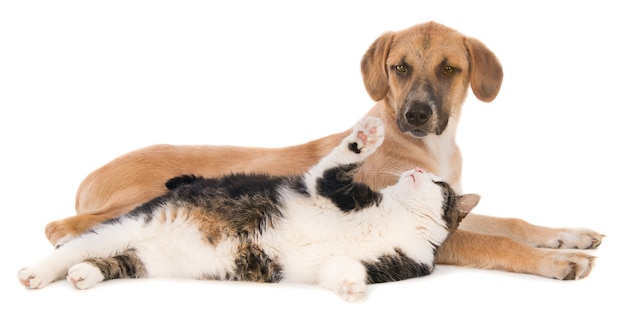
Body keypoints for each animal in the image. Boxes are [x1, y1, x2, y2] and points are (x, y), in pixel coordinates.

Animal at [18, 116, 478, 302]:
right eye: (425, 175)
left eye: (436, 183)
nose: (416, 170)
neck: (398, 218)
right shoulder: (326, 187)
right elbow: (338, 162)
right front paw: (365, 135)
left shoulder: (388, 263)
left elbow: (342, 270)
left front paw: (352, 289)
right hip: (129, 222)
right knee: (72, 246)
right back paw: (37, 273)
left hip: (147, 259)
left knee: (111, 261)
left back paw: (85, 275)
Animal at [44, 21, 600, 278]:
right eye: (400, 67)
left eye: (449, 69)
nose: (417, 115)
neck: (428, 148)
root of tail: (90, 175)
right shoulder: (432, 230)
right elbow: (496, 241)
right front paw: (558, 261)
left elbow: (512, 223)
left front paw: (567, 236)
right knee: (61, 227)